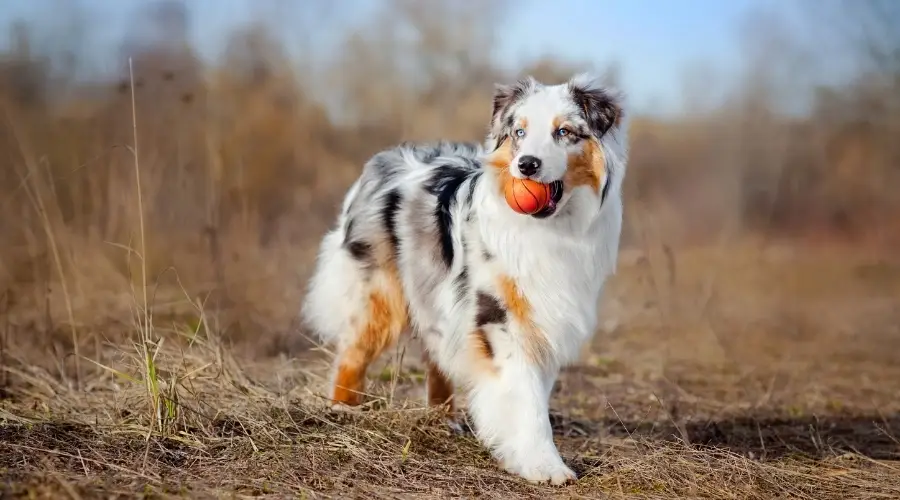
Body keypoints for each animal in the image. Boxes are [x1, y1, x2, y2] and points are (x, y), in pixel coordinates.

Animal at [300, 73, 624, 484]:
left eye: (564, 132)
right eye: (519, 132)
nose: (526, 165)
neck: (550, 230)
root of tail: (383, 160)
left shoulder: (543, 319)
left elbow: (533, 393)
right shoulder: (499, 317)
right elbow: (526, 400)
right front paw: (544, 465)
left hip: (436, 295)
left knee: (437, 355)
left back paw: (444, 419)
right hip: (380, 293)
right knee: (354, 351)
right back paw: (343, 409)